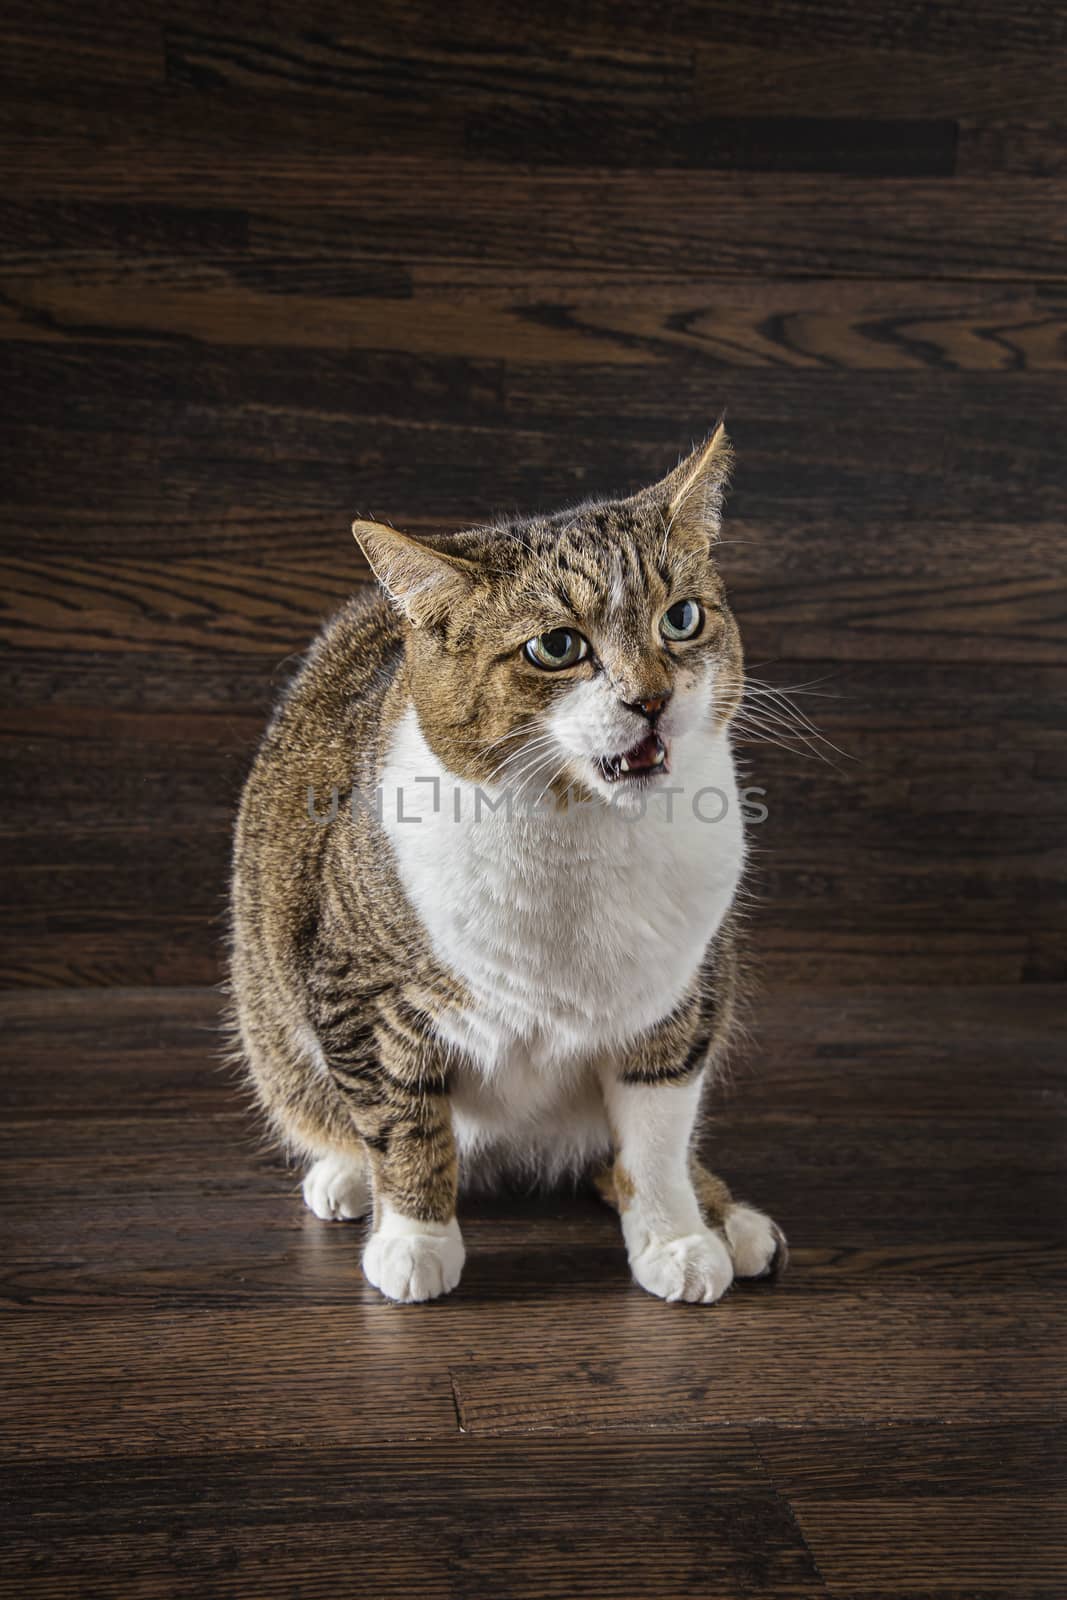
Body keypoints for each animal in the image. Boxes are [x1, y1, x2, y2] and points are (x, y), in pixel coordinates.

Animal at [231, 422, 783, 1299]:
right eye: (557, 646)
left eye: (682, 618)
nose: (651, 698)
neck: (581, 830)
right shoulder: (360, 991)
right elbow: (403, 1123)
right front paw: (414, 1242)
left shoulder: (676, 999)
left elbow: (657, 1137)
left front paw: (677, 1239)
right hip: (274, 1027)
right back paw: (346, 1177)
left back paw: (725, 1218)